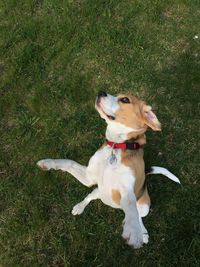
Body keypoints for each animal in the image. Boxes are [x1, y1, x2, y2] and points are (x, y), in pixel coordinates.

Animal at [36, 91, 180, 249]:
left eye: (125, 99)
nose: (101, 92)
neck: (116, 147)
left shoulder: (126, 190)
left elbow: (131, 208)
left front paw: (134, 231)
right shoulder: (88, 177)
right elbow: (68, 163)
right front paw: (47, 163)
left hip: (144, 207)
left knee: (138, 216)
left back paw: (143, 233)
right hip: (99, 191)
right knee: (90, 196)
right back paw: (79, 207)